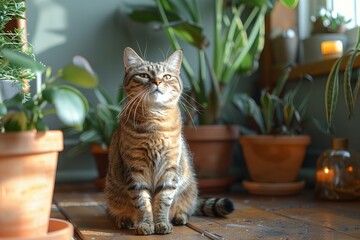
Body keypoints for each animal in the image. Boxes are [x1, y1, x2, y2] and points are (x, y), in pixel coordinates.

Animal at [104, 47, 233, 234]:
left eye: (166, 76)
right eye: (144, 75)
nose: (157, 81)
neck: (155, 124)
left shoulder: (169, 169)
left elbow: (163, 201)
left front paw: (161, 223)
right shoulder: (135, 170)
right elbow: (142, 203)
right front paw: (146, 224)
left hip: (189, 189)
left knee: (187, 208)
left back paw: (180, 217)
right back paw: (125, 219)